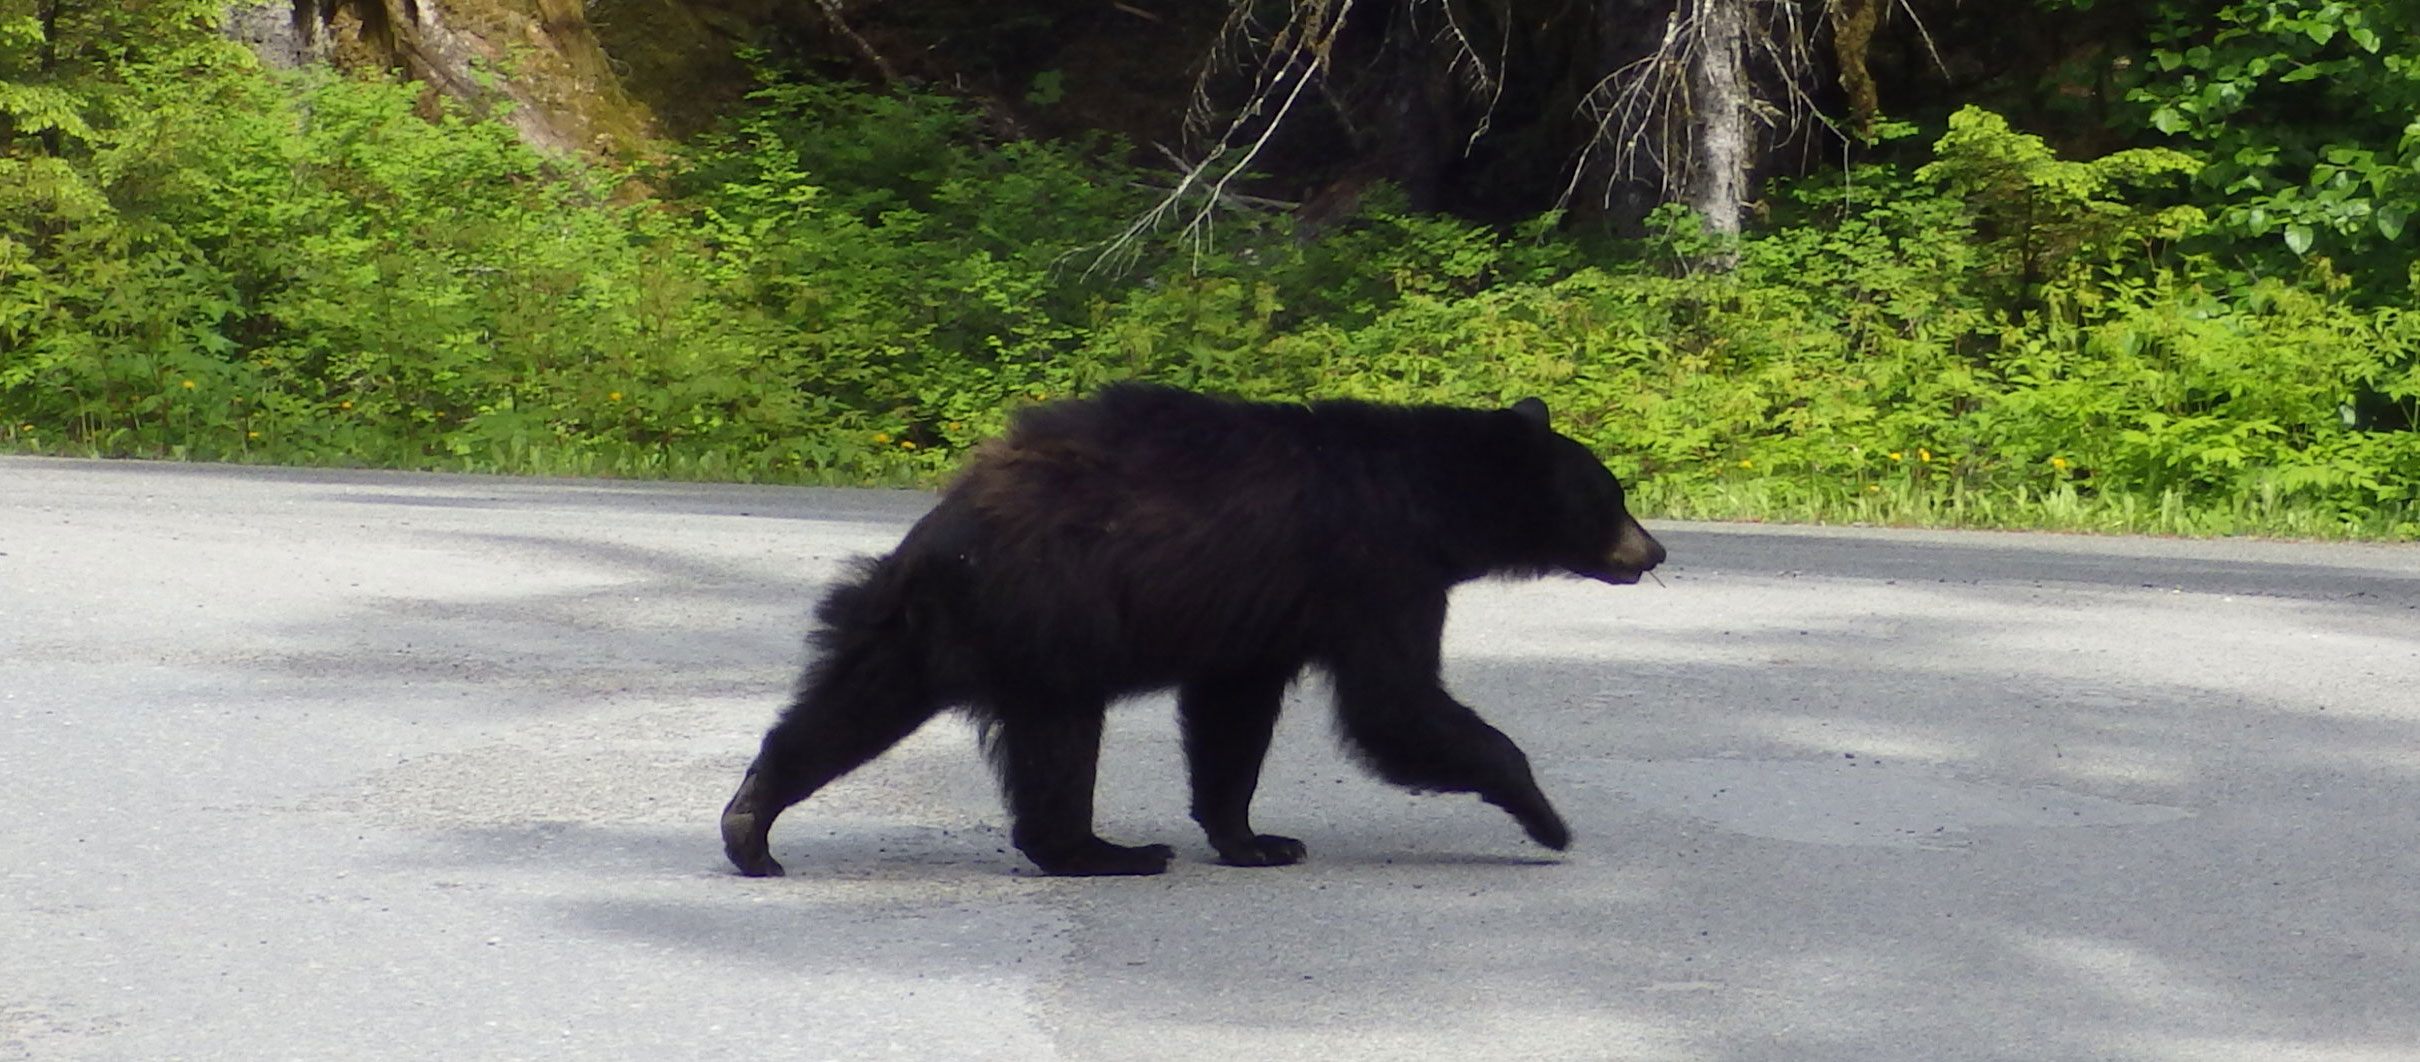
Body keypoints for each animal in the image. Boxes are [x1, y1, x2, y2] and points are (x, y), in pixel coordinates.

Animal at [721, 387, 1664, 875]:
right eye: (1611, 494)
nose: (1654, 550)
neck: (1431, 497)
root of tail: (936, 540)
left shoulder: (1261, 618)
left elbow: (1232, 716)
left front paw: (1256, 838)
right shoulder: (1374, 567)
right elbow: (1395, 704)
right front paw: (1545, 817)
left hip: (913, 631)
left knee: (844, 710)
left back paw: (749, 824)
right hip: (1053, 620)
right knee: (1060, 740)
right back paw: (1104, 851)